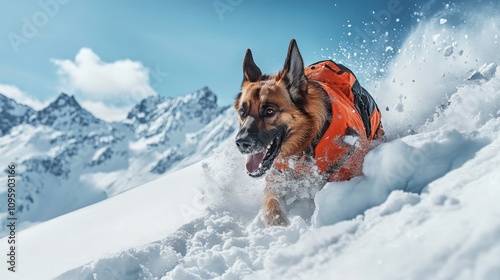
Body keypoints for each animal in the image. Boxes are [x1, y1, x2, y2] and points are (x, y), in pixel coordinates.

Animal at [233, 39, 382, 226]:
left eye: (269, 111)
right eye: (242, 112)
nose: (241, 142)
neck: (305, 145)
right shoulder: (277, 181)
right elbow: (270, 205)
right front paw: (280, 226)